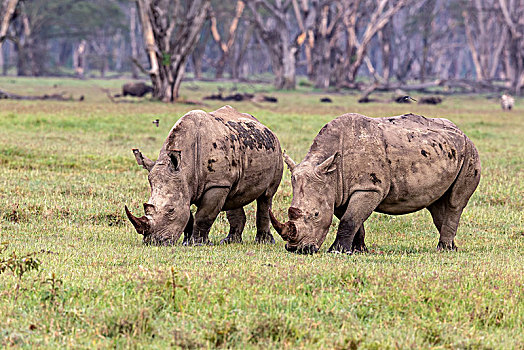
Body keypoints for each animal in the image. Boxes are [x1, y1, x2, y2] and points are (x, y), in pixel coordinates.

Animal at [126, 106, 282, 246]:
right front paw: (186, 242)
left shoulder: (216, 184)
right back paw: (230, 241)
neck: (184, 169)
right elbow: (188, 215)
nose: (153, 242)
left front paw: (198, 244)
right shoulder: (184, 184)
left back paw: (264, 242)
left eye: (171, 210)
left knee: (266, 197)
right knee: (234, 196)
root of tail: (266, 127)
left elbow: (204, 216)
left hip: (277, 151)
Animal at [272, 114, 482, 254]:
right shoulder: (338, 191)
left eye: (316, 214)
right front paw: (358, 250)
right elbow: (353, 220)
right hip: (448, 151)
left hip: (470, 152)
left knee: (455, 203)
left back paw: (443, 249)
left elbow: (350, 219)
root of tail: (462, 132)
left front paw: (337, 251)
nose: (297, 249)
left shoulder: (369, 187)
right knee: (437, 205)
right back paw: (452, 248)